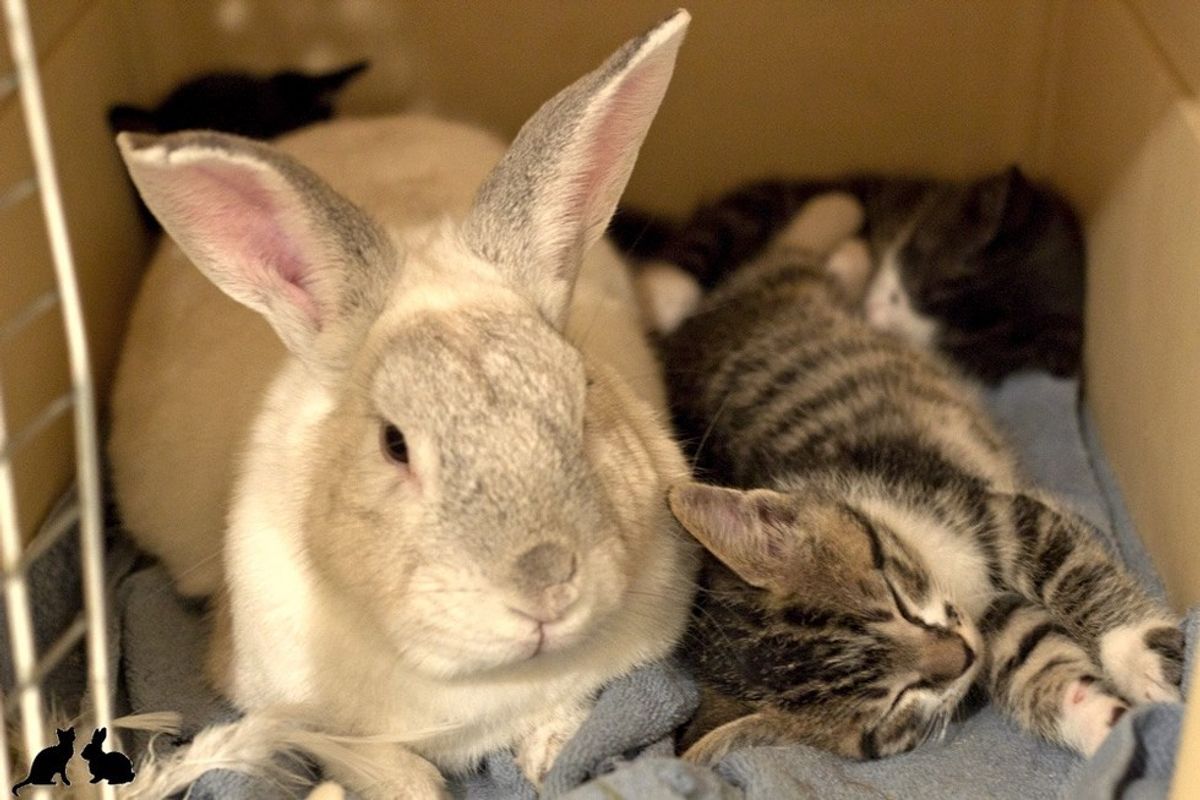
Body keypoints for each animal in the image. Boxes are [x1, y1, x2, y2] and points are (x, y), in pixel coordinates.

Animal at [109, 10, 698, 799]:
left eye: (583, 399)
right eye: (394, 444)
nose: (545, 587)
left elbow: (565, 717)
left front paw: (548, 761)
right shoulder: (301, 719)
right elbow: (391, 769)